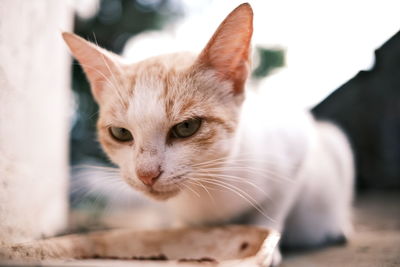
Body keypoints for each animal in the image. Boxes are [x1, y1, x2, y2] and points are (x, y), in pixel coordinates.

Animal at [62, 2, 354, 266]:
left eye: (186, 127)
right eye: (120, 133)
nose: (146, 174)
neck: (207, 188)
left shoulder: (295, 147)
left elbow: (271, 211)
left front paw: (267, 247)